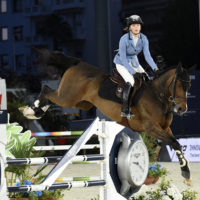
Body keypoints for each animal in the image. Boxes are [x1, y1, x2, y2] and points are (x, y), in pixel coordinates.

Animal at [19, 48, 195, 184]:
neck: (157, 96)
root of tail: (78, 64)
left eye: (189, 85)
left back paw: (36, 112)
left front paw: (186, 173)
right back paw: (31, 111)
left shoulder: (165, 128)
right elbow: (174, 143)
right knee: (47, 90)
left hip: (81, 103)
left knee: (51, 96)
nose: (182, 109)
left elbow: (175, 143)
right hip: (67, 97)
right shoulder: (150, 128)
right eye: (179, 84)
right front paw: (186, 173)